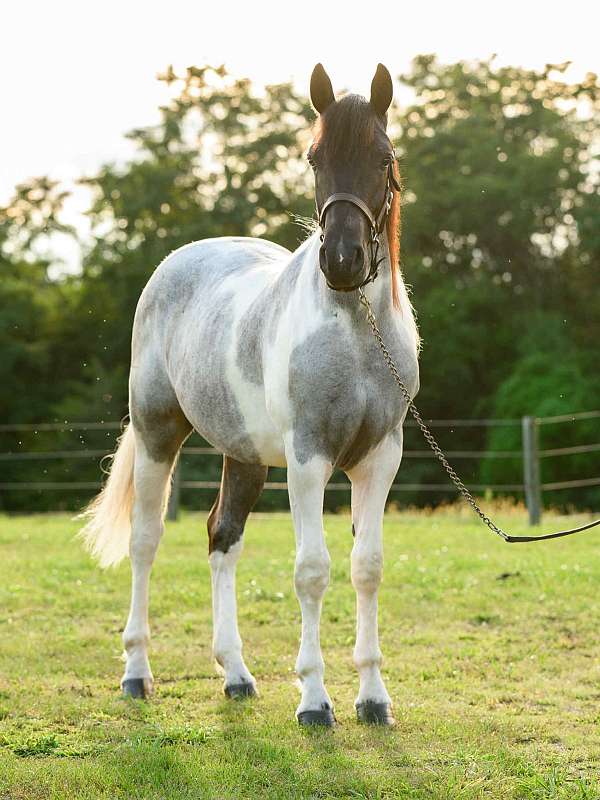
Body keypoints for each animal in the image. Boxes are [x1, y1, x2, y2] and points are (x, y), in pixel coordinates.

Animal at [80, 62, 420, 726]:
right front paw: (314, 701)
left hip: (242, 456)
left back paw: (236, 675)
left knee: (222, 536)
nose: (342, 261)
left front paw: (374, 698)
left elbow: (366, 568)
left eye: (384, 156)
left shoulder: (380, 458)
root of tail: (176, 264)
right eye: (314, 157)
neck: (354, 329)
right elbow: (312, 572)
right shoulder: (309, 457)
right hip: (158, 433)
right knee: (145, 541)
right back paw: (137, 673)